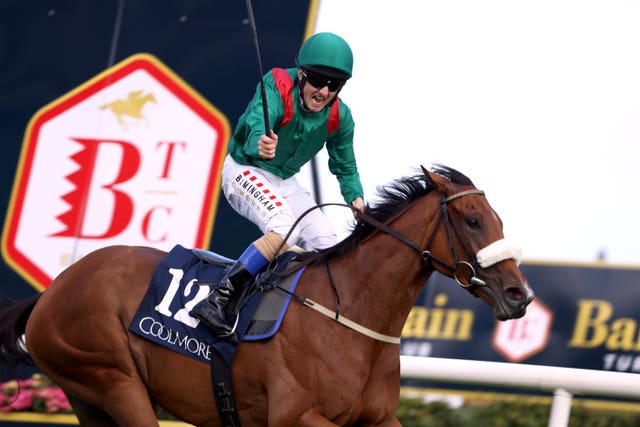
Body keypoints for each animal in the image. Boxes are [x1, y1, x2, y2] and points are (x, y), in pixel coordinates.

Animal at [0, 166, 532, 426]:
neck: (349, 315)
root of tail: (53, 291)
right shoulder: (295, 416)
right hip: (112, 379)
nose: (519, 295)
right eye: (472, 221)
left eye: (499, 220)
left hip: (90, 400)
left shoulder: (379, 420)